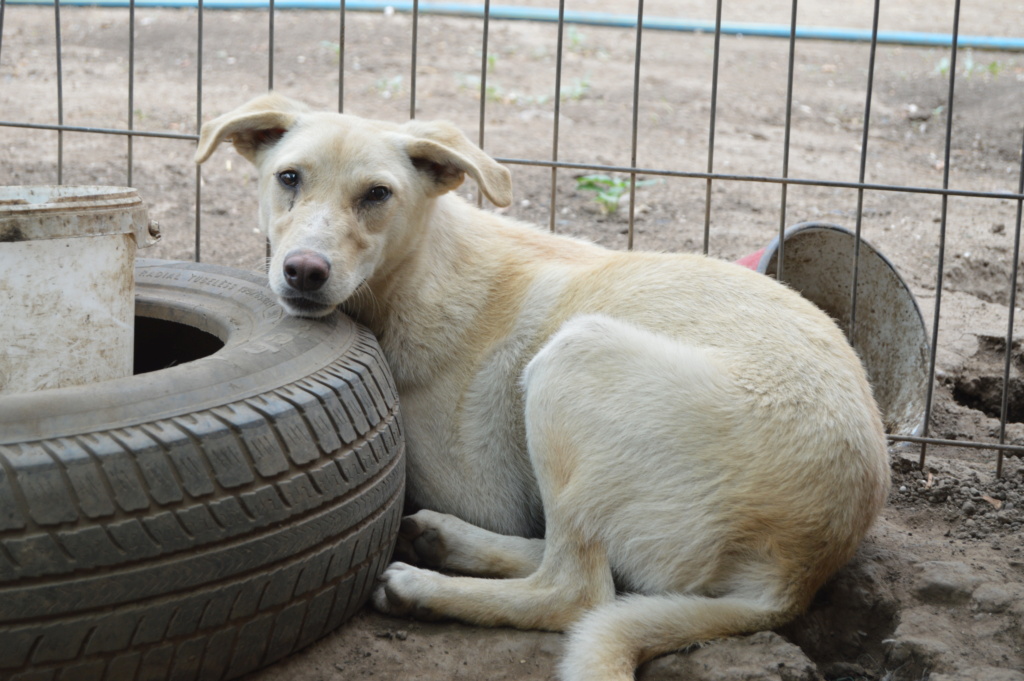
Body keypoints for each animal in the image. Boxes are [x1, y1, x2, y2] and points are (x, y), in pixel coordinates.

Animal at [197, 93, 888, 675]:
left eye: (377, 194)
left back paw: (427, 586)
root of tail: (797, 574)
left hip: (571, 362)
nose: (303, 272)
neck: (419, 276)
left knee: (577, 592)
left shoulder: (484, 490)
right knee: (598, 572)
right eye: (289, 178)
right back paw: (445, 540)